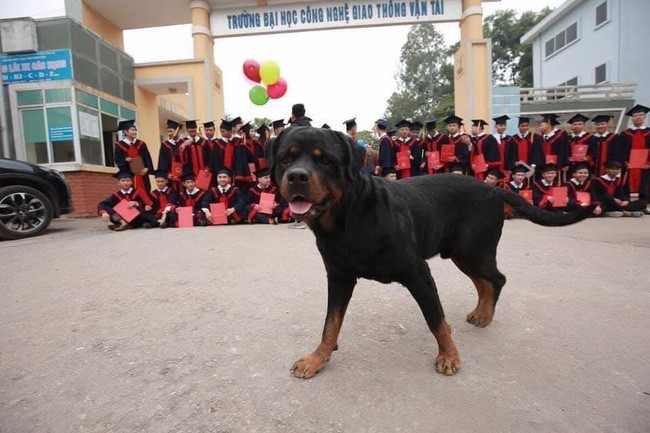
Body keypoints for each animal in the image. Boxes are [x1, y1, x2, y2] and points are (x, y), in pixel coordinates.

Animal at [270, 126, 588, 376]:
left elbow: (436, 319)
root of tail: (493, 188)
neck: (346, 219)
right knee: (484, 282)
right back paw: (480, 313)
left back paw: (485, 315)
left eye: (325, 160)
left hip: (474, 250)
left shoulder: (418, 272)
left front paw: (449, 356)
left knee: (496, 278)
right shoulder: (338, 277)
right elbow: (330, 323)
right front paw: (317, 358)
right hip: (461, 253)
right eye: (286, 158)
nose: (297, 176)